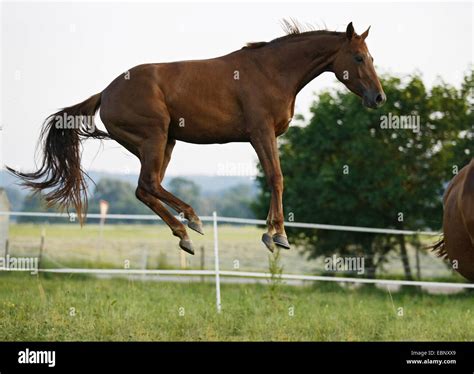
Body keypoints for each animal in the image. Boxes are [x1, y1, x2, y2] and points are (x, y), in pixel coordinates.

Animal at [7, 20, 386, 254]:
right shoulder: (261, 134)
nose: (379, 98)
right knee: (148, 185)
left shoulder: (268, 137)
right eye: (357, 57)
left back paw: (185, 233)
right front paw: (278, 236)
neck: (272, 71)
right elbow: (276, 178)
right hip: (155, 138)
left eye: (371, 56)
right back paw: (192, 221)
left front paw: (271, 233)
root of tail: (105, 92)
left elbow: (275, 179)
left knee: (145, 189)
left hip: (166, 143)